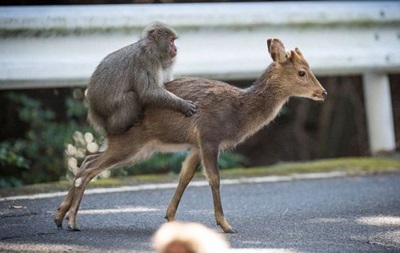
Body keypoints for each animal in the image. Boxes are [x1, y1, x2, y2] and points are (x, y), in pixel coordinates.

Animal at [54, 37, 328, 233]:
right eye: (302, 72)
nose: (323, 92)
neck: (238, 112)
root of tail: (105, 120)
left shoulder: (196, 144)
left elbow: (184, 176)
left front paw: (170, 218)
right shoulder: (209, 136)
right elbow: (214, 179)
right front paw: (225, 225)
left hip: (135, 147)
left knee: (86, 160)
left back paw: (59, 216)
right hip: (131, 143)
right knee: (90, 167)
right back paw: (72, 221)